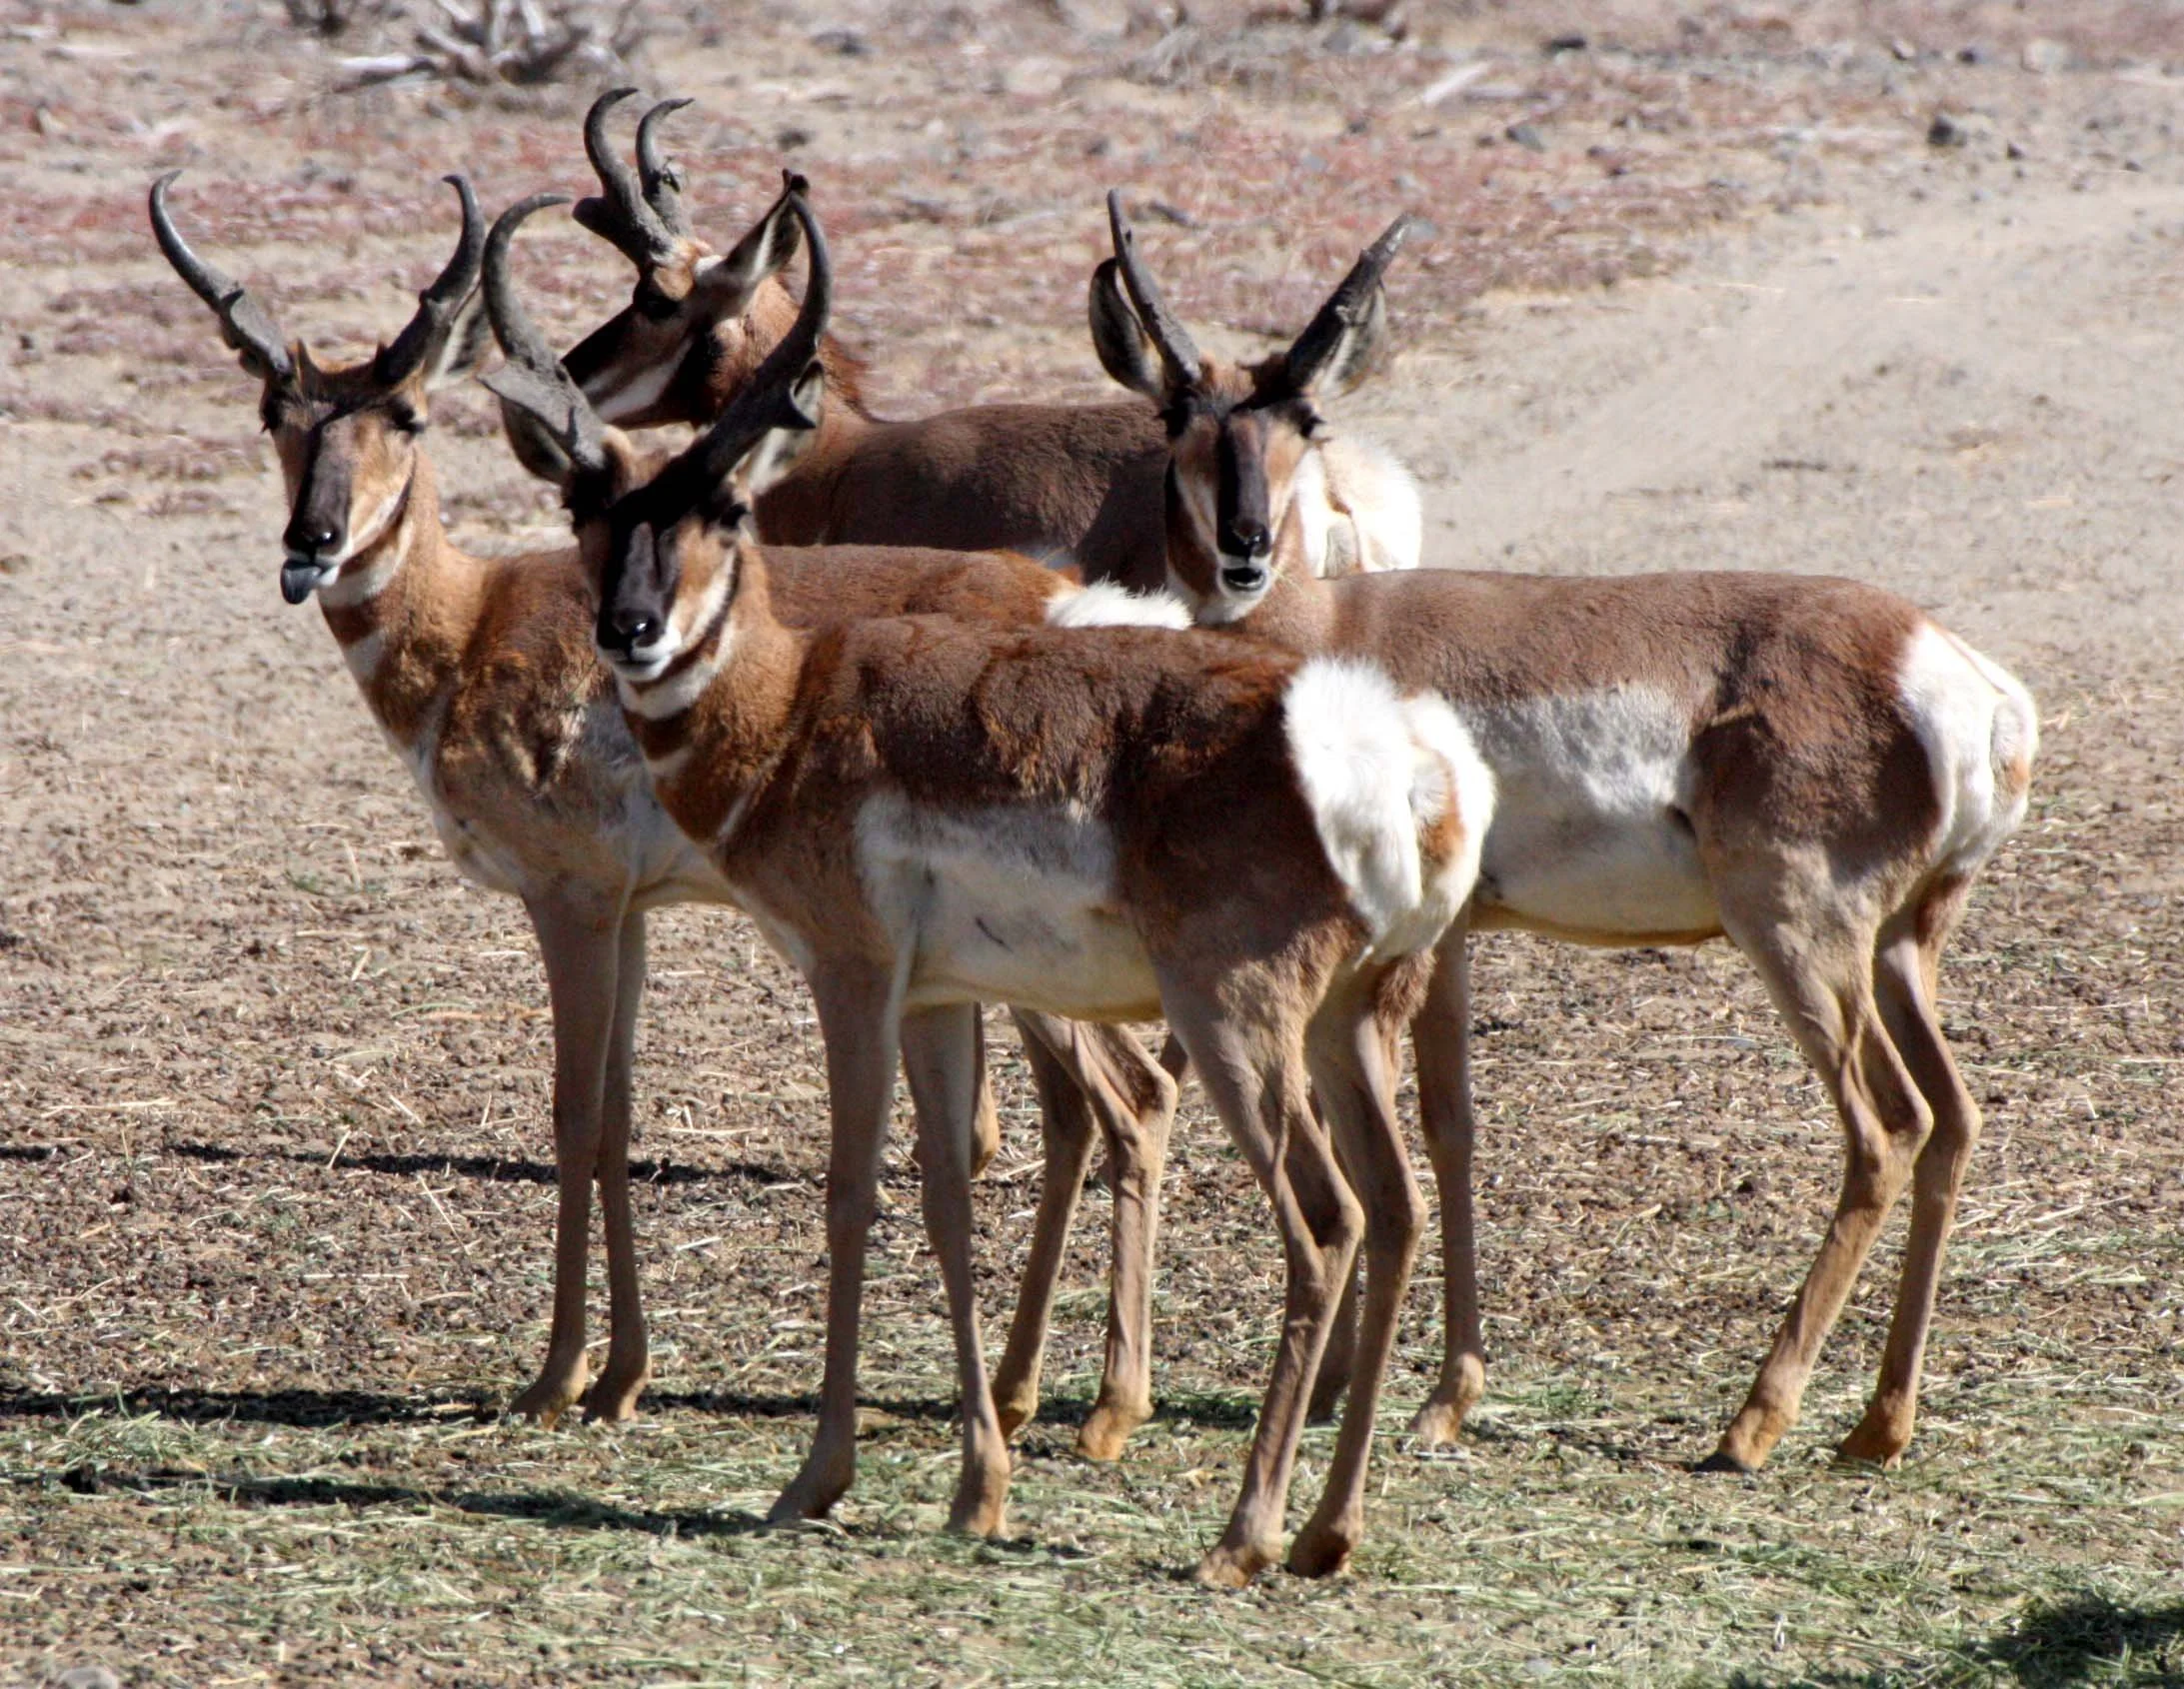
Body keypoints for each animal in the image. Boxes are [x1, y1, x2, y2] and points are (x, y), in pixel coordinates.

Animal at [145, 168, 1175, 1441]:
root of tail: (1063, 604)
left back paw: (1108, 1410)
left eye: (408, 415)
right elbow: (623, 1114)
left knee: (1135, 1097)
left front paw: (556, 1377)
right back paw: (1031, 1390)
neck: (472, 622)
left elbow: (573, 1114)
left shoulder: (572, 902)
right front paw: (621, 1376)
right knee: (1089, 1109)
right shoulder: (633, 912)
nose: (313, 544)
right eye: (274, 415)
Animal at [489, 184, 1496, 1585]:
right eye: (591, 511)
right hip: (1345, 1024)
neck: (800, 702)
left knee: (1326, 1223)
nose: (629, 632)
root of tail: (1372, 745)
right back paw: (1325, 1532)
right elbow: (949, 1200)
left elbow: (852, 1194)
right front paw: (979, 1485)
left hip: (1237, 1031)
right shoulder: (937, 999)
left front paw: (815, 1479)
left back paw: (1239, 1536)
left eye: (724, 510)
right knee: (1393, 1210)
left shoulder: (852, 980)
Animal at [1092, 192, 2039, 1475]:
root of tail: (1940, 663)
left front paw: (1377, 1393)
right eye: (1177, 414)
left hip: (1798, 939)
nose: (1242, 544)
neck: (1330, 623)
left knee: (1886, 1127)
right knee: (1954, 1120)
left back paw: (1752, 1422)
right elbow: (1450, 1128)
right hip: (1899, 950)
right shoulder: (1447, 944)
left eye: (1305, 414)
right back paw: (1876, 1422)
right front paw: (1435, 1395)